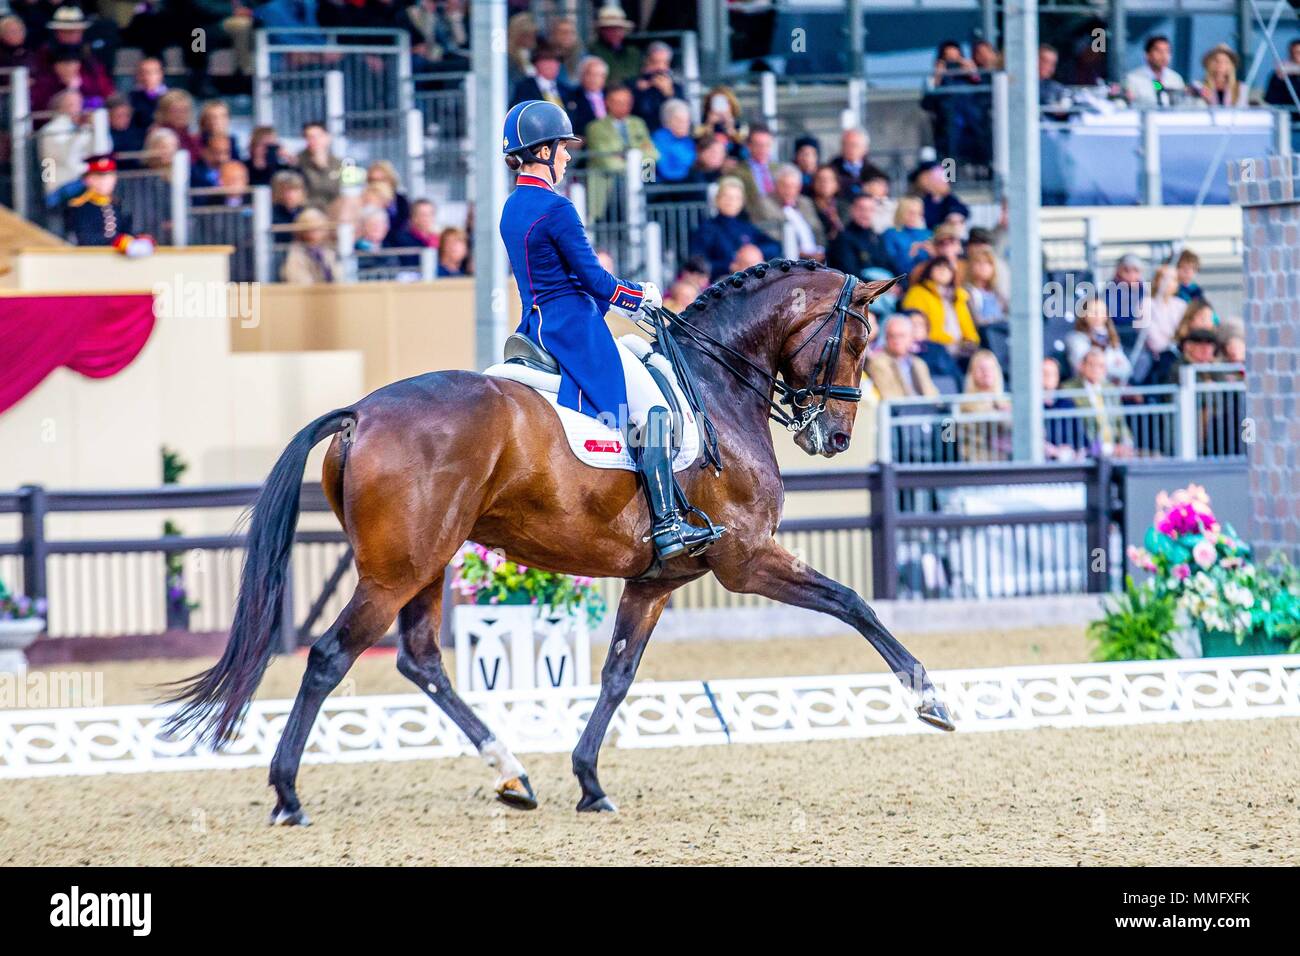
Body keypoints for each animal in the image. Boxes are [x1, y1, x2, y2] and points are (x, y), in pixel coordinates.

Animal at [167, 257, 956, 827]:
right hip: (396, 571)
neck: (715, 384)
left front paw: (589, 781)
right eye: (857, 341)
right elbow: (853, 603)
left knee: (421, 660)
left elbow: (616, 674)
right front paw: (930, 698)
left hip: (425, 564)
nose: (836, 438)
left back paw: (513, 774)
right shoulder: (745, 559)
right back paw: (288, 796)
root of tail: (360, 411)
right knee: (331, 656)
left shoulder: (658, 578)